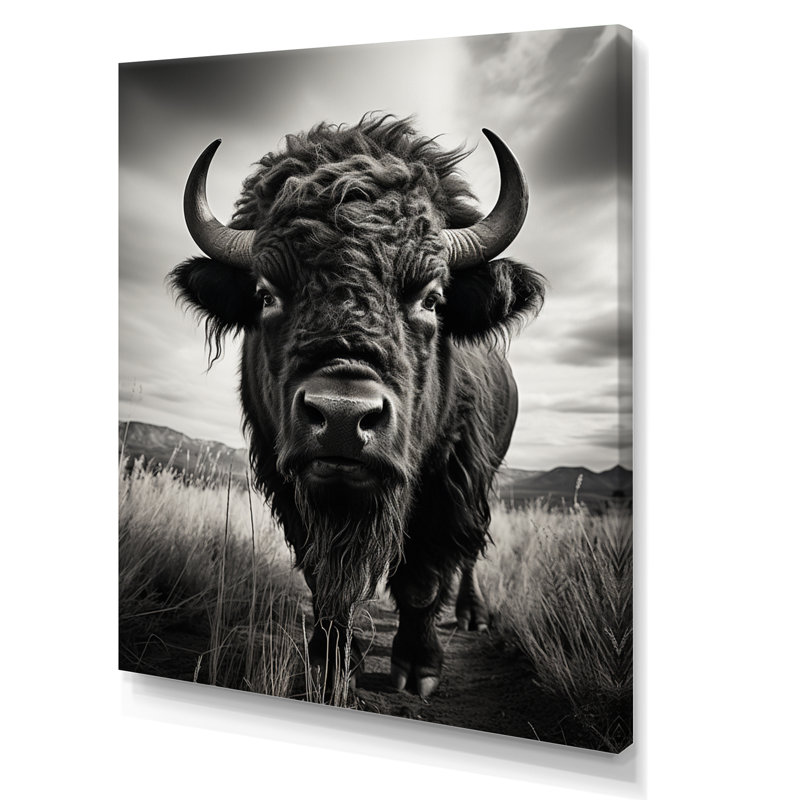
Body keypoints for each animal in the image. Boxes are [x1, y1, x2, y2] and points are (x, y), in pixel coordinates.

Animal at [170, 115, 544, 697]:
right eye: (266, 293)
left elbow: (421, 581)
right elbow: (324, 583)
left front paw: (417, 671)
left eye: (431, 298)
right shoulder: (294, 487)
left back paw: (472, 615)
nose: (343, 419)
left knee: (466, 559)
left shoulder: (448, 486)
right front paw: (327, 668)